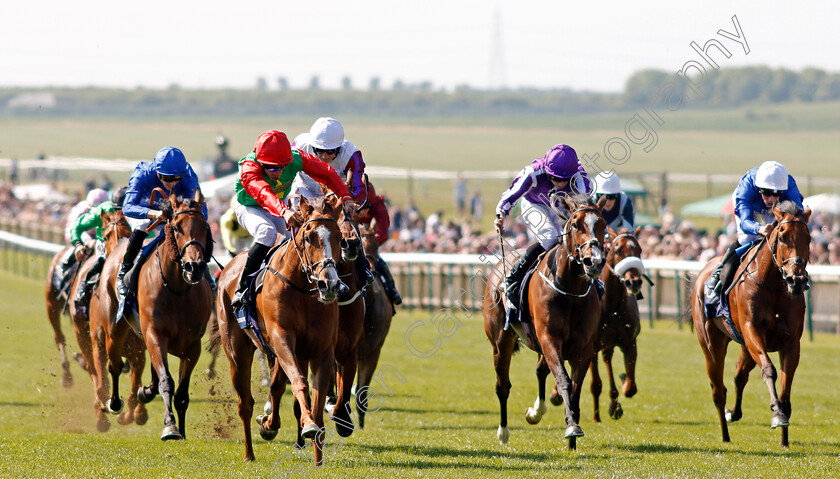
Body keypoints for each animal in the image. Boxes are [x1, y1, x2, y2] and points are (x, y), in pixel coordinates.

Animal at [218, 197, 346, 464]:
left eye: (340, 237)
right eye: (308, 237)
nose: (329, 284)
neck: (303, 290)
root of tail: (230, 266)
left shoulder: (321, 350)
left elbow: (317, 397)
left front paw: (318, 456)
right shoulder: (282, 338)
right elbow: (299, 382)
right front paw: (308, 426)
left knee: (275, 388)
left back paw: (269, 424)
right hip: (237, 352)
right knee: (245, 403)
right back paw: (249, 453)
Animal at [482, 195, 608, 450]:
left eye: (603, 225)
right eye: (576, 225)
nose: (594, 262)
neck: (571, 290)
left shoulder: (584, 348)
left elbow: (575, 388)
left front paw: (573, 435)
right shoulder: (550, 338)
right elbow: (564, 381)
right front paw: (572, 428)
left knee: (540, 371)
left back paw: (536, 412)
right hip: (501, 342)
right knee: (503, 385)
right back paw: (503, 432)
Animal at [592, 227, 644, 422]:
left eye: (639, 250)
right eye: (617, 250)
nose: (634, 282)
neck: (612, 305)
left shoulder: (630, 343)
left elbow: (631, 388)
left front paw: (616, 403)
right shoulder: (591, 347)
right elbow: (596, 384)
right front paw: (596, 417)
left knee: (608, 359)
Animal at [692, 201, 812, 448]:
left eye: (809, 238)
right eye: (782, 237)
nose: (796, 280)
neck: (774, 286)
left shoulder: (791, 343)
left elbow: (786, 387)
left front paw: (784, 438)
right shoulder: (752, 332)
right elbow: (769, 370)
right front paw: (777, 414)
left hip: (745, 348)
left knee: (739, 376)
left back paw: (733, 413)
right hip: (712, 343)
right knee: (718, 389)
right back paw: (725, 434)